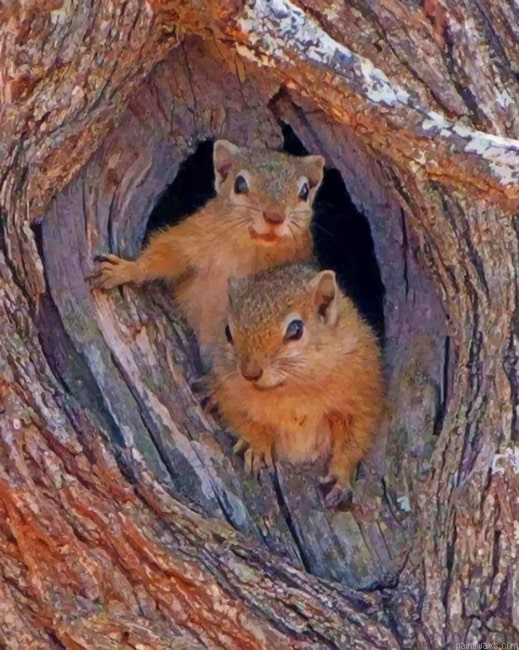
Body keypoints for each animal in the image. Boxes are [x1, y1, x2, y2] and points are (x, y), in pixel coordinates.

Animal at [87, 140, 324, 353]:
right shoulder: (196, 235)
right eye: (239, 184)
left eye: (304, 191)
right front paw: (124, 269)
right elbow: (165, 253)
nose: (275, 217)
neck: (247, 248)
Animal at [210, 262, 384, 509]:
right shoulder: (229, 393)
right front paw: (257, 446)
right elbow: (244, 421)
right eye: (227, 331)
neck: (291, 390)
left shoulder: (361, 398)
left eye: (295, 329)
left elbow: (354, 439)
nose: (250, 373)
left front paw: (340, 477)